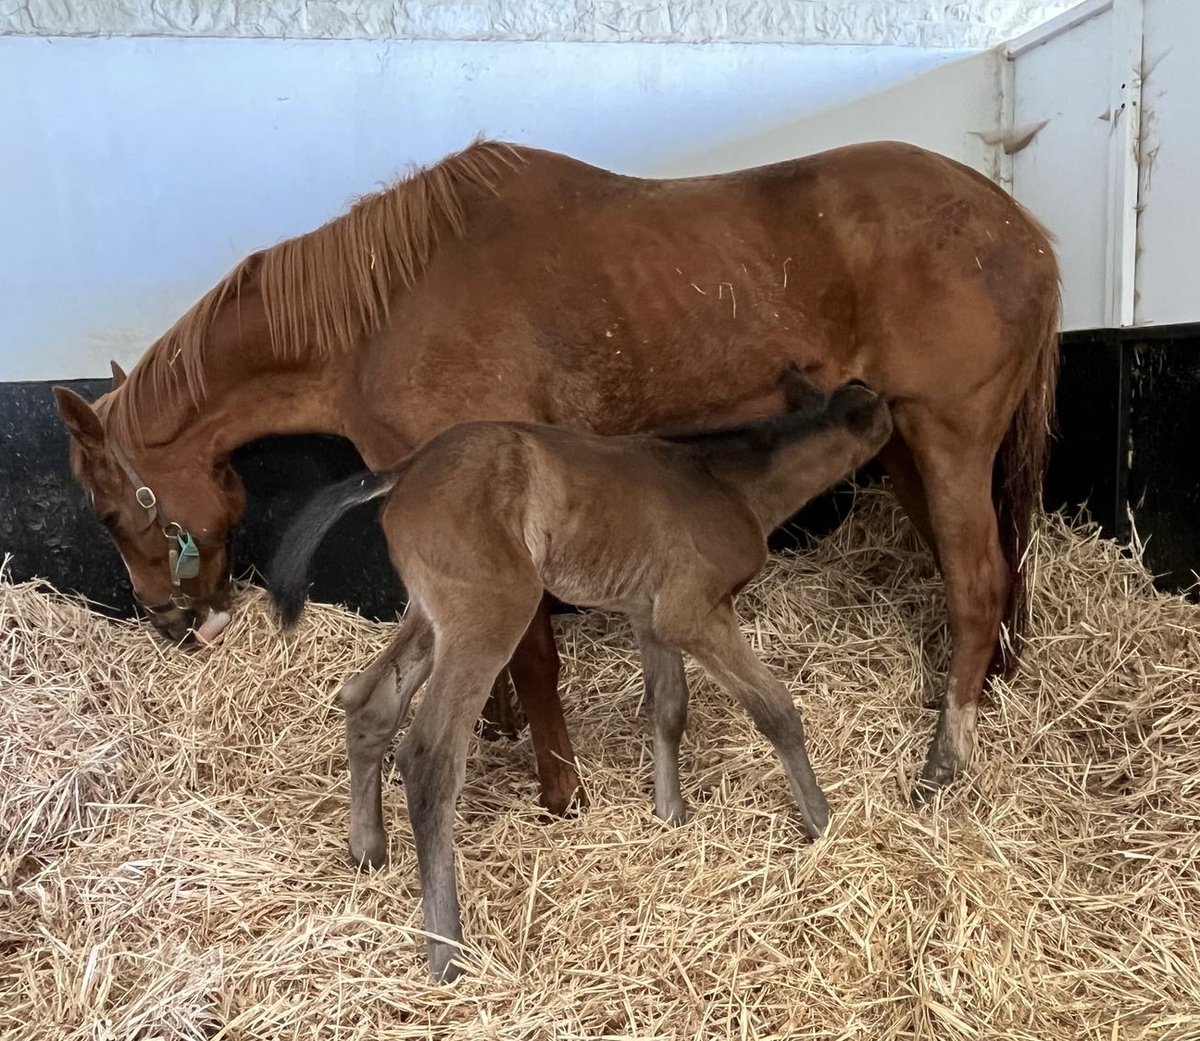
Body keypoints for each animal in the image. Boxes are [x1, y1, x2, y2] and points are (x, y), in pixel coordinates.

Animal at [52, 137, 1060, 812]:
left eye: (107, 511)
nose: (168, 621)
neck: (379, 317)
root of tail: (1021, 227)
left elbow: (535, 651)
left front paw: (559, 787)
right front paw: (501, 727)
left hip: (946, 437)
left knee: (975, 582)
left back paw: (946, 755)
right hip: (904, 445)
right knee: (990, 577)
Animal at [266, 371, 893, 981]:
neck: (729, 484)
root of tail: (406, 470)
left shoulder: (649, 612)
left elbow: (670, 707)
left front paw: (671, 814)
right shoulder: (693, 611)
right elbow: (775, 708)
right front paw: (821, 822)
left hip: (432, 615)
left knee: (370, 703)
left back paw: (367, 850)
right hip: (494, 609)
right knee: (429, 756)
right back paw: (447, 950)